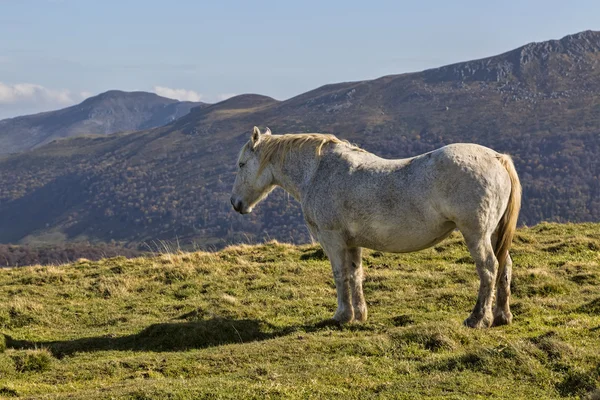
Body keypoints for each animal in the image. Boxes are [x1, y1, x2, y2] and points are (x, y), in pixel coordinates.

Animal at [230, 128, 520, 328]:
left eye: (241, 164)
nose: (236, 204)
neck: (317, 173)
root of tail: (497, 158)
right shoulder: (352, 243)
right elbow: (355, 275)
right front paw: (359, 315)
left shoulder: (332, 240)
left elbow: (340, 275)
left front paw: (342, 315)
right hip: (493, 234)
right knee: (504, 266)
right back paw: (502, 316)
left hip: (476, 234)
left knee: (489, 268)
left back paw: (478, 318)